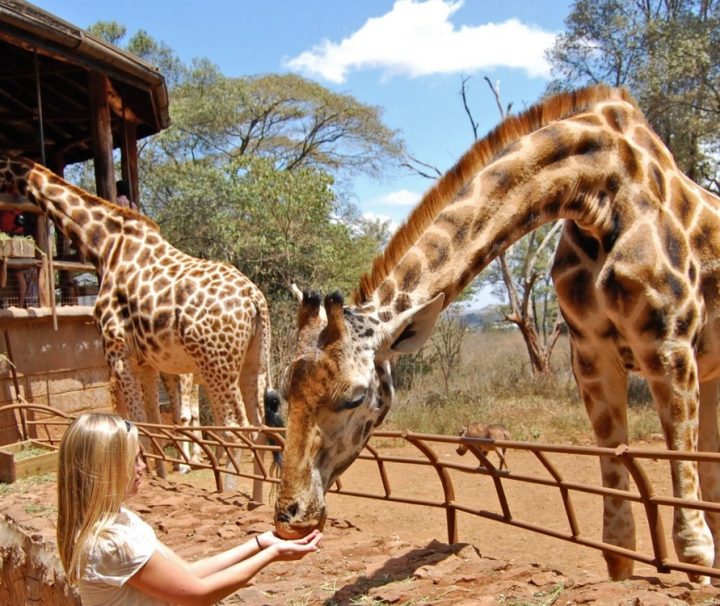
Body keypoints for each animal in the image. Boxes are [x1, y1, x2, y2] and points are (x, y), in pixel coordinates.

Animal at [0, 156, 274, 495]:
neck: (104, 246)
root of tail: (254, 298)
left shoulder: (116, 351)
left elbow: (138, 422)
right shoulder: (147, 362)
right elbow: (154, 421)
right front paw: (160, 474)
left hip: (216, 364)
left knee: (235, 428)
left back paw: (228, 490)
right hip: (253, 361)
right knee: (259, 425)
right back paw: (255, 497)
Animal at [272, 84, 720, 583]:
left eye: (353, 397)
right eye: (284, 393)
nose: (290, 515)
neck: (599, 193)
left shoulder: (669, 345)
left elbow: (693, 541)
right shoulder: (591, 357)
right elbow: (618, 542)